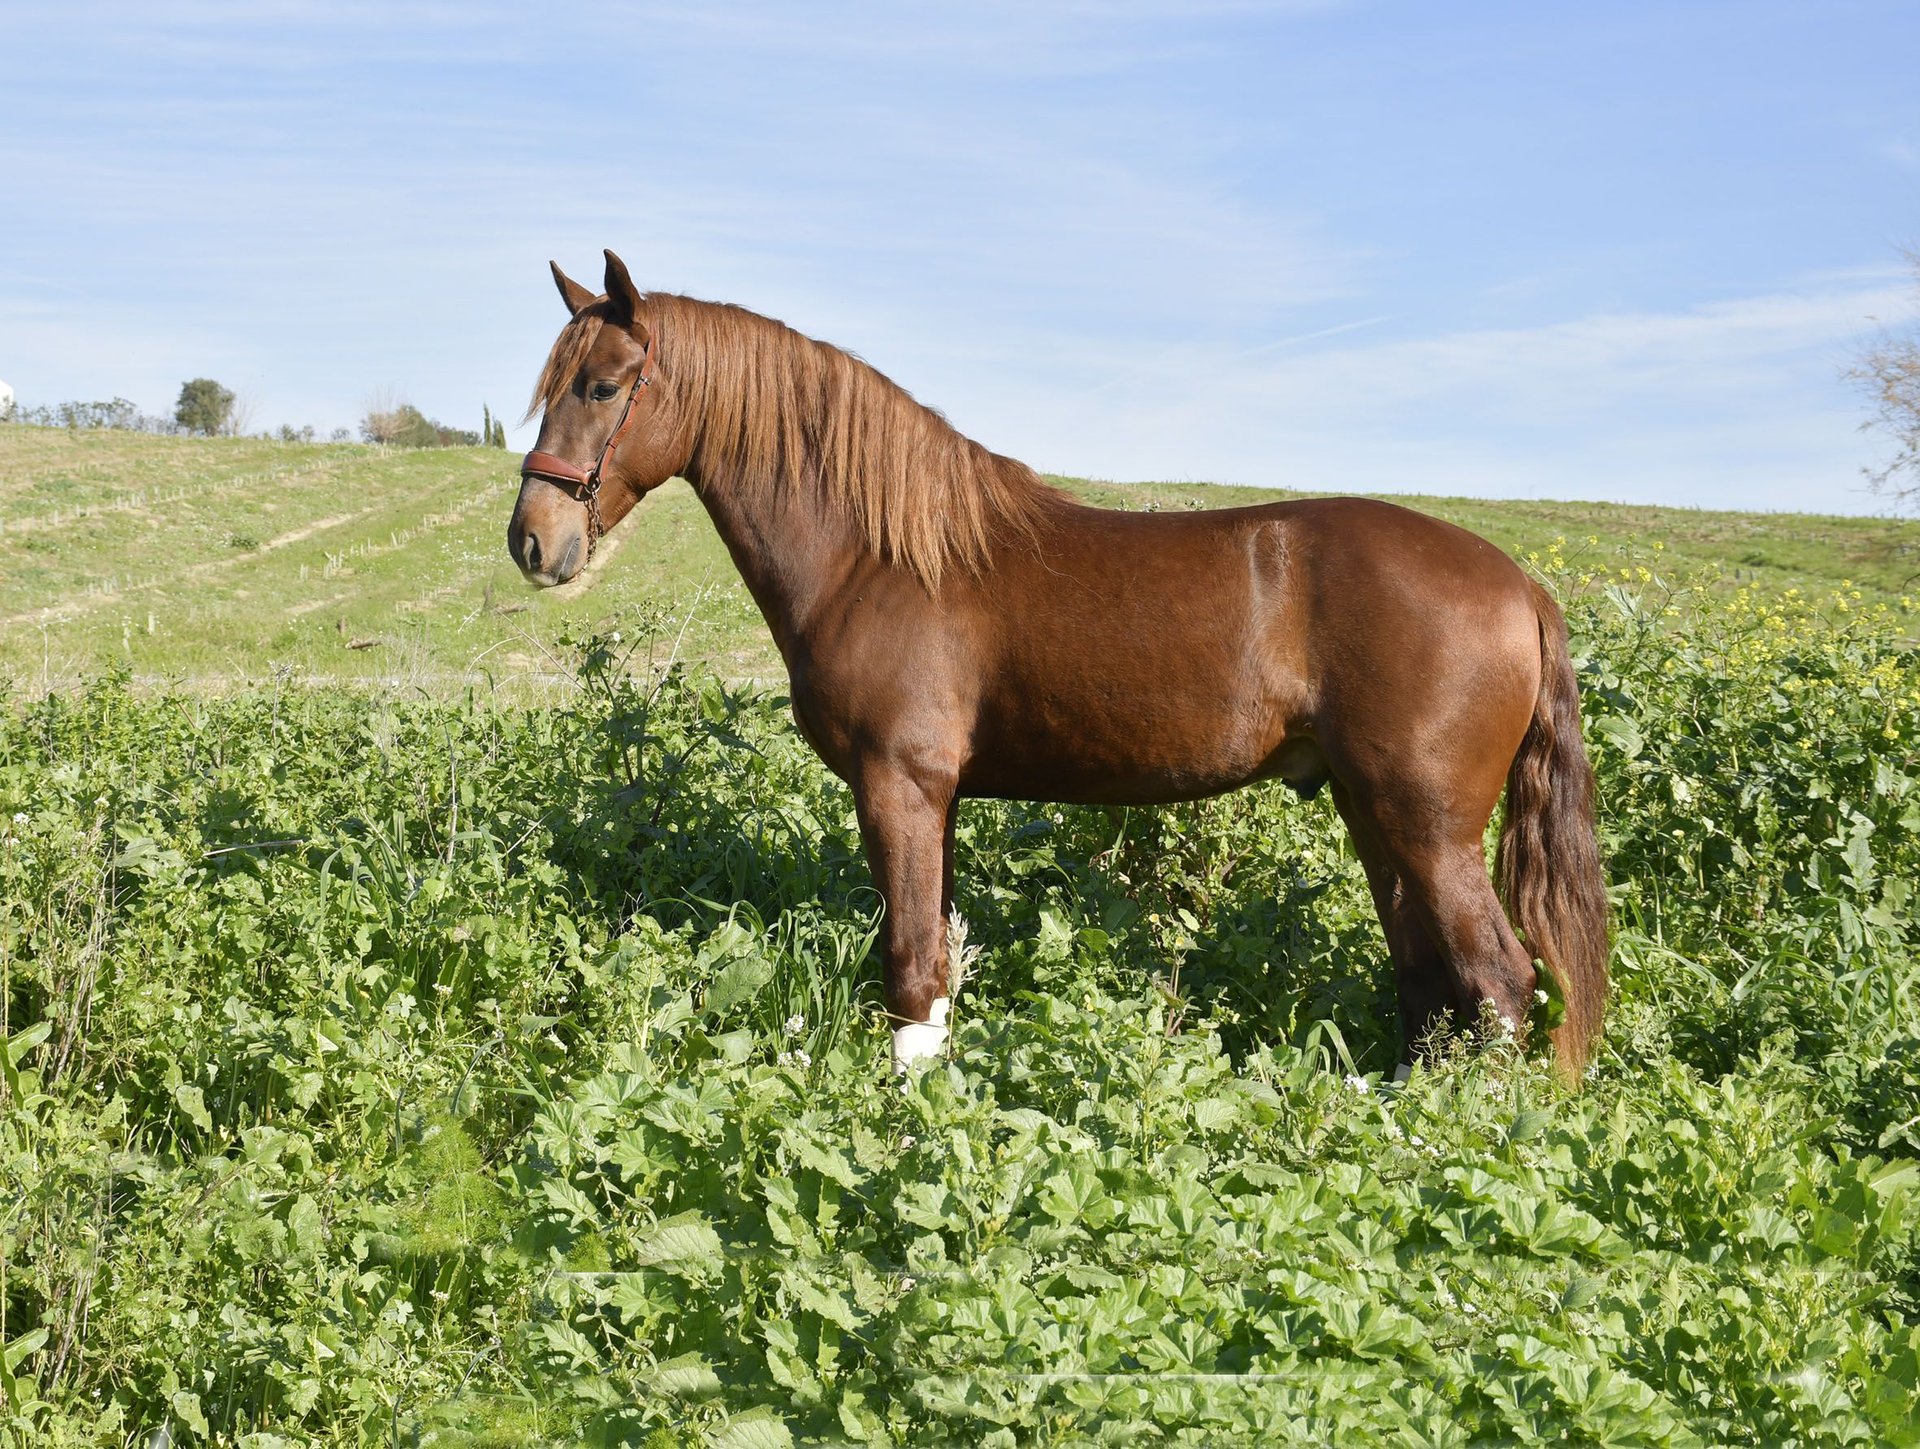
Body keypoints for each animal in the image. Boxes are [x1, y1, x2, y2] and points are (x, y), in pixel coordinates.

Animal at [506, 255, 1605, 1082]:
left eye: (603, 385)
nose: (532, 541)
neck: (880, 555)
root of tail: (1521, 586)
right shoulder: (936, 798)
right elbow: (939, 957)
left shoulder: (898, 785)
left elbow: (910, 969)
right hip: (1376, 814)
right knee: (1429, 981)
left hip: (1428, 824)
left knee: (1501, 983)